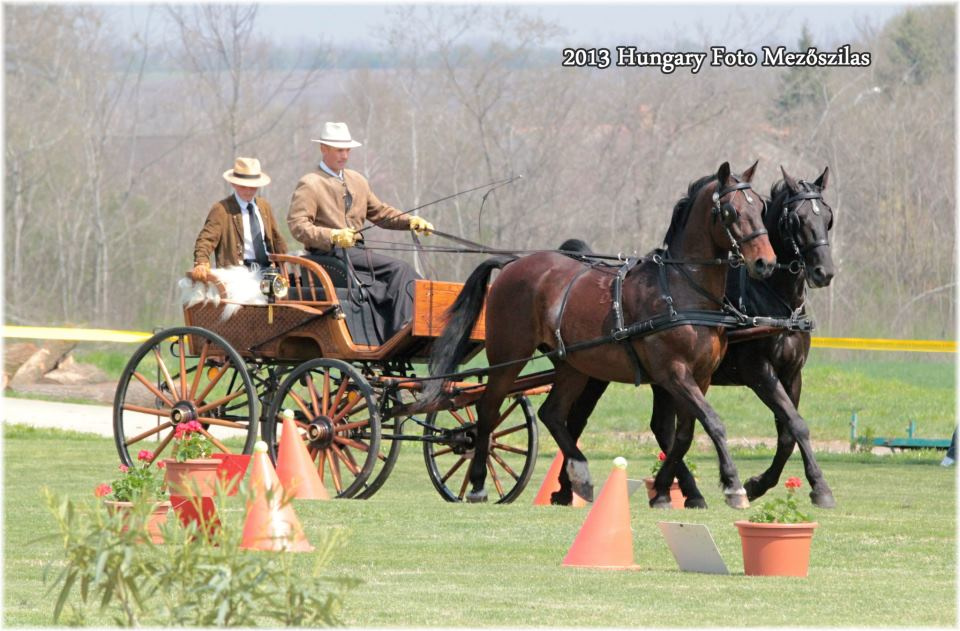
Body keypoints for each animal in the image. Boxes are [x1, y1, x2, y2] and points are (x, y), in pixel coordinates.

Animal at [420, 162, 772, 508]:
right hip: (509, 355)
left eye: (761, 207)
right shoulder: (674, 374)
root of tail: (513, 263)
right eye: (730, 211)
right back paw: (479, 483)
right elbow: (713, 422)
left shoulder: (700, 377)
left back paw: (579, 475)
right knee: (488, 410)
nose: (765, 263)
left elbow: (684, 435)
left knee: (552, 414)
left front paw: (663, 490)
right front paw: (733, 486)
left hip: (572, 365)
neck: (680, 289)